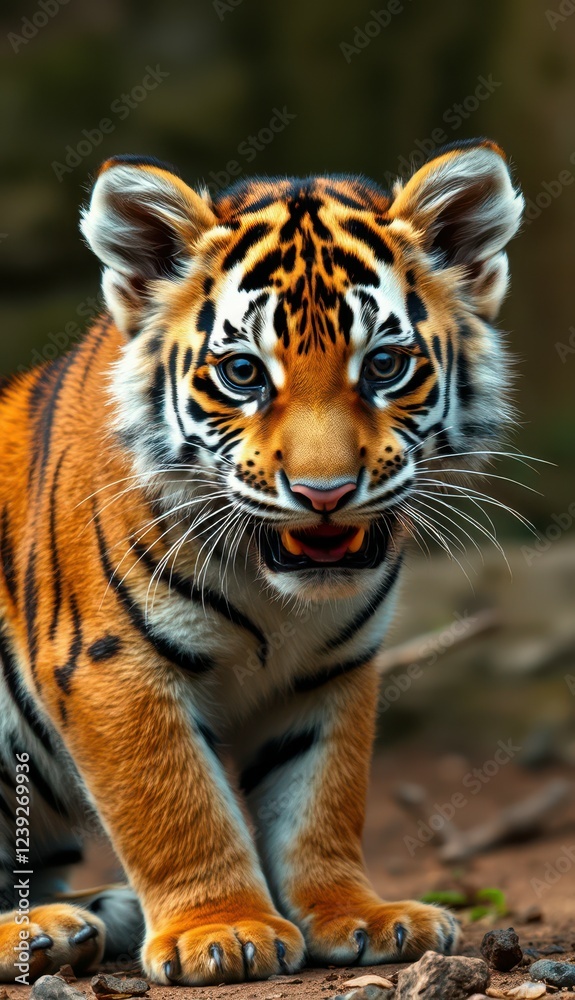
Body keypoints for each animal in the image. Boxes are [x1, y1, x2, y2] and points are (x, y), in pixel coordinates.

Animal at [0, 138, 523, 985]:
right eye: (243, 373)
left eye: (383, 365)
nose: (323, 493)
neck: (274, 593)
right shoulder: (111, 664)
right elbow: (177, 805)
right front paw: (222, 932)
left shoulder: (333, 669)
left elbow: (321, 801)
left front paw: (360, 915)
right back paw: (46, 930)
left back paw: (94, 917)